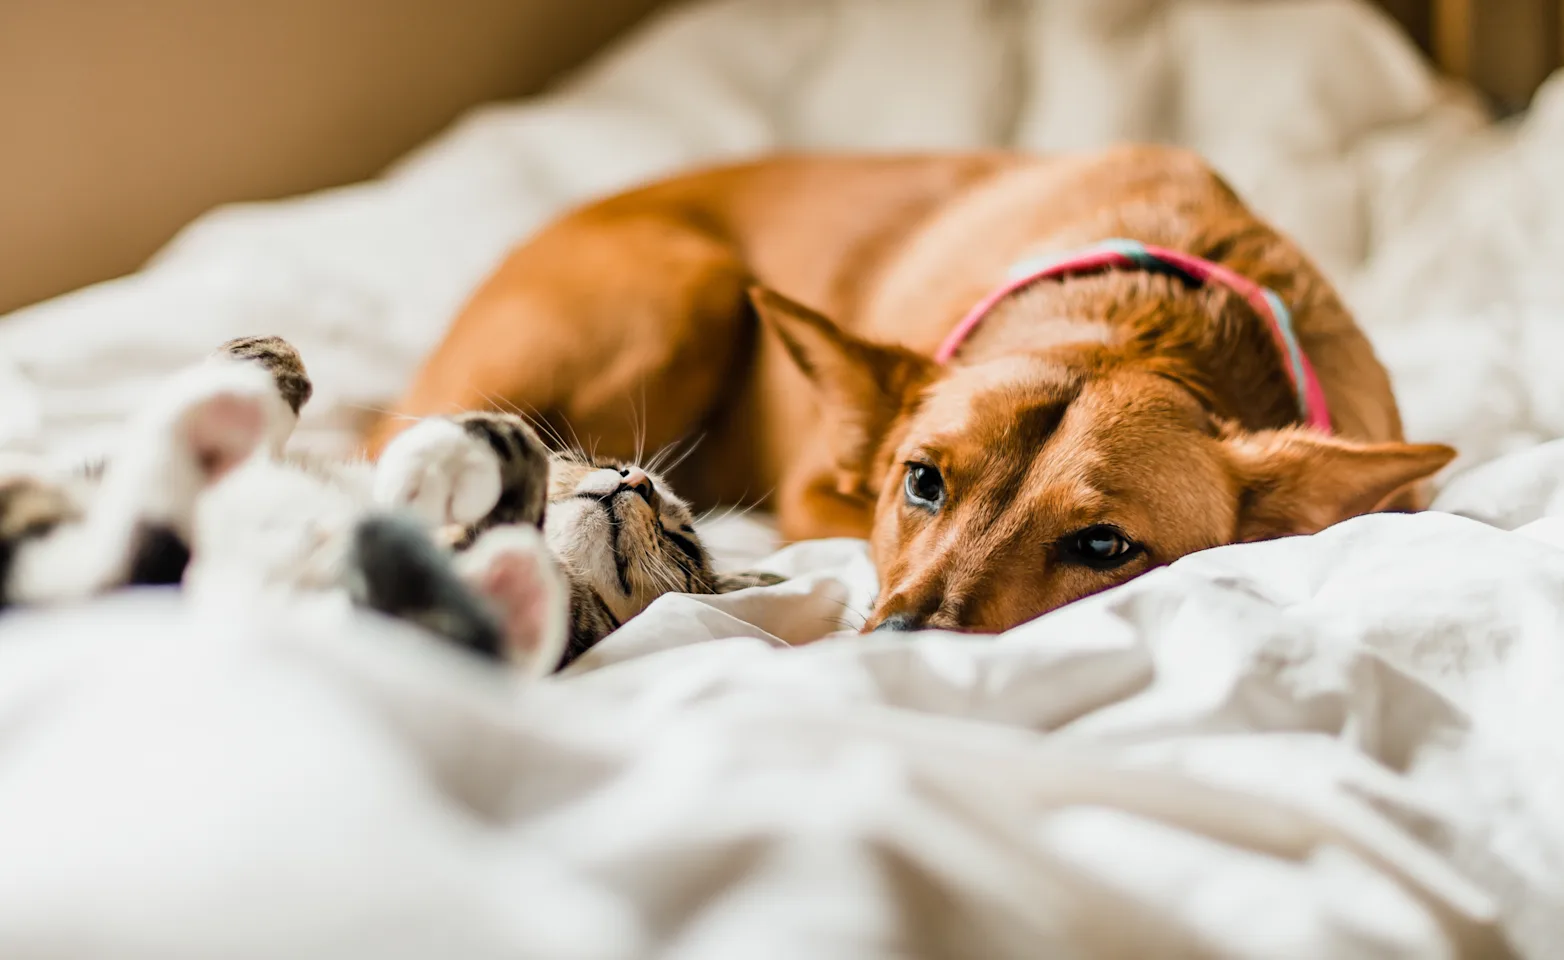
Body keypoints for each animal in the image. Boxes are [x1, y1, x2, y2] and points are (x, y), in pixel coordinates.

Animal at [372, 146, 1457, 634]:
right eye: (922, 482)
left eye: (1104, 547)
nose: (895, 640)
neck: (1143, 322)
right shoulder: (819, 492)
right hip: (683, 294)